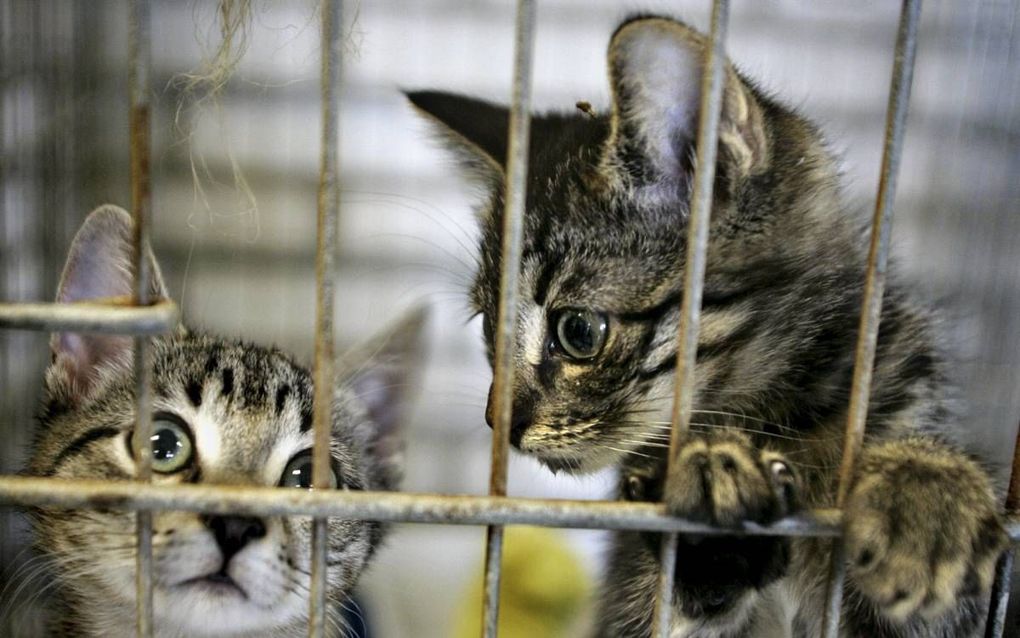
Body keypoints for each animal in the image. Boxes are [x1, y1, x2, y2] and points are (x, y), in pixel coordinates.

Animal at [410, 14, 1007, 636]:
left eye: (578, 331)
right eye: (488, 326)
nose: (498, 423)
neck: (771, 420)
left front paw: (927, 490)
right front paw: (712, 508)